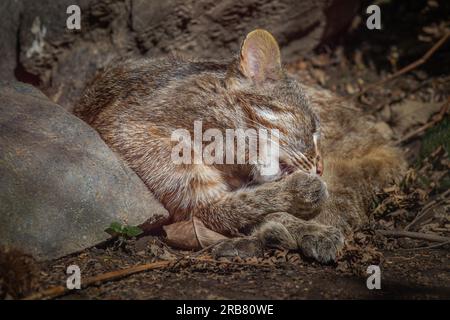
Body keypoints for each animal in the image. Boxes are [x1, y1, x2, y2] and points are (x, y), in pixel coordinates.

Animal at [74, 29, 404, 262]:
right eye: (311, 129)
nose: (321, 168)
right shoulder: (193, 199)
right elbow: (241, 205)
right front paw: (298, 202)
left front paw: (306, 226)